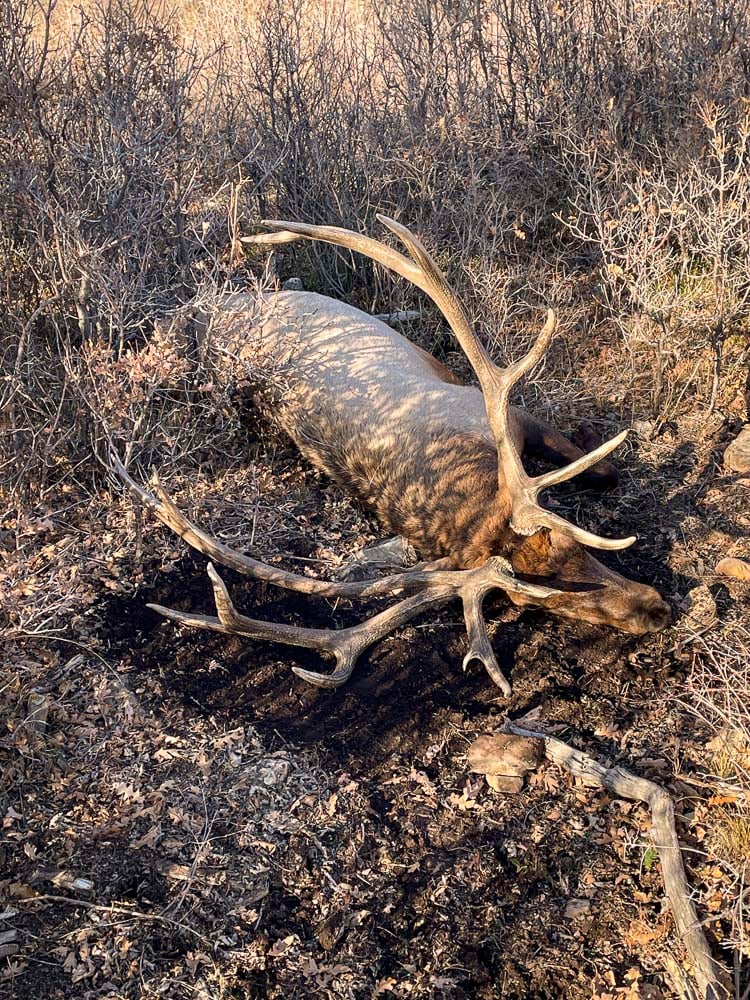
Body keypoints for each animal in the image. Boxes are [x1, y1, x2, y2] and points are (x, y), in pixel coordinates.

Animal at [111, 215, 671, 694]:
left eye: (570, 549)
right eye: (536, 597)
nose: (656, 608)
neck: (472, 494)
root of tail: (197, 318)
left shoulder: (502, 413)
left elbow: (605, 471)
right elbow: (606, 469)